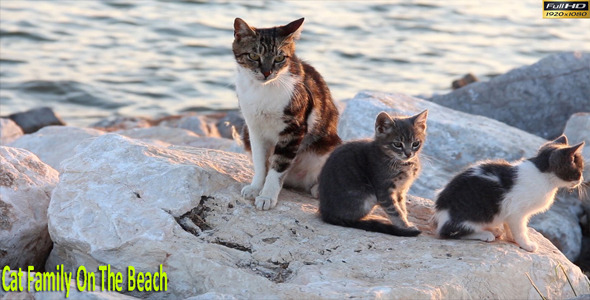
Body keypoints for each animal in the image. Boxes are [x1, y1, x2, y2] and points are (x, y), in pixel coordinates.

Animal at [232, 18, 342, 211]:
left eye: (279, 58)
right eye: (253, 56)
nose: (266, 72)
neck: (263, 90)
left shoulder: (294, 129)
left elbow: (278, 165)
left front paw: (267, 196)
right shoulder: (253, 127)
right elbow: (260, 161)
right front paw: (255, 188)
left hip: (330, 145)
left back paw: (318, 189)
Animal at [438, 135, 584, 252]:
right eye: (579, 170)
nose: (581, 180)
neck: (543, 174)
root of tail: (440, 213)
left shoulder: (509, 211)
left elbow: (509, 226)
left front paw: (511, 238)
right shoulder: (517, 212)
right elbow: (520, 229)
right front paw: (526, 244)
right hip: (474, 215)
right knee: (450, 232)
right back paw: (485, 234)